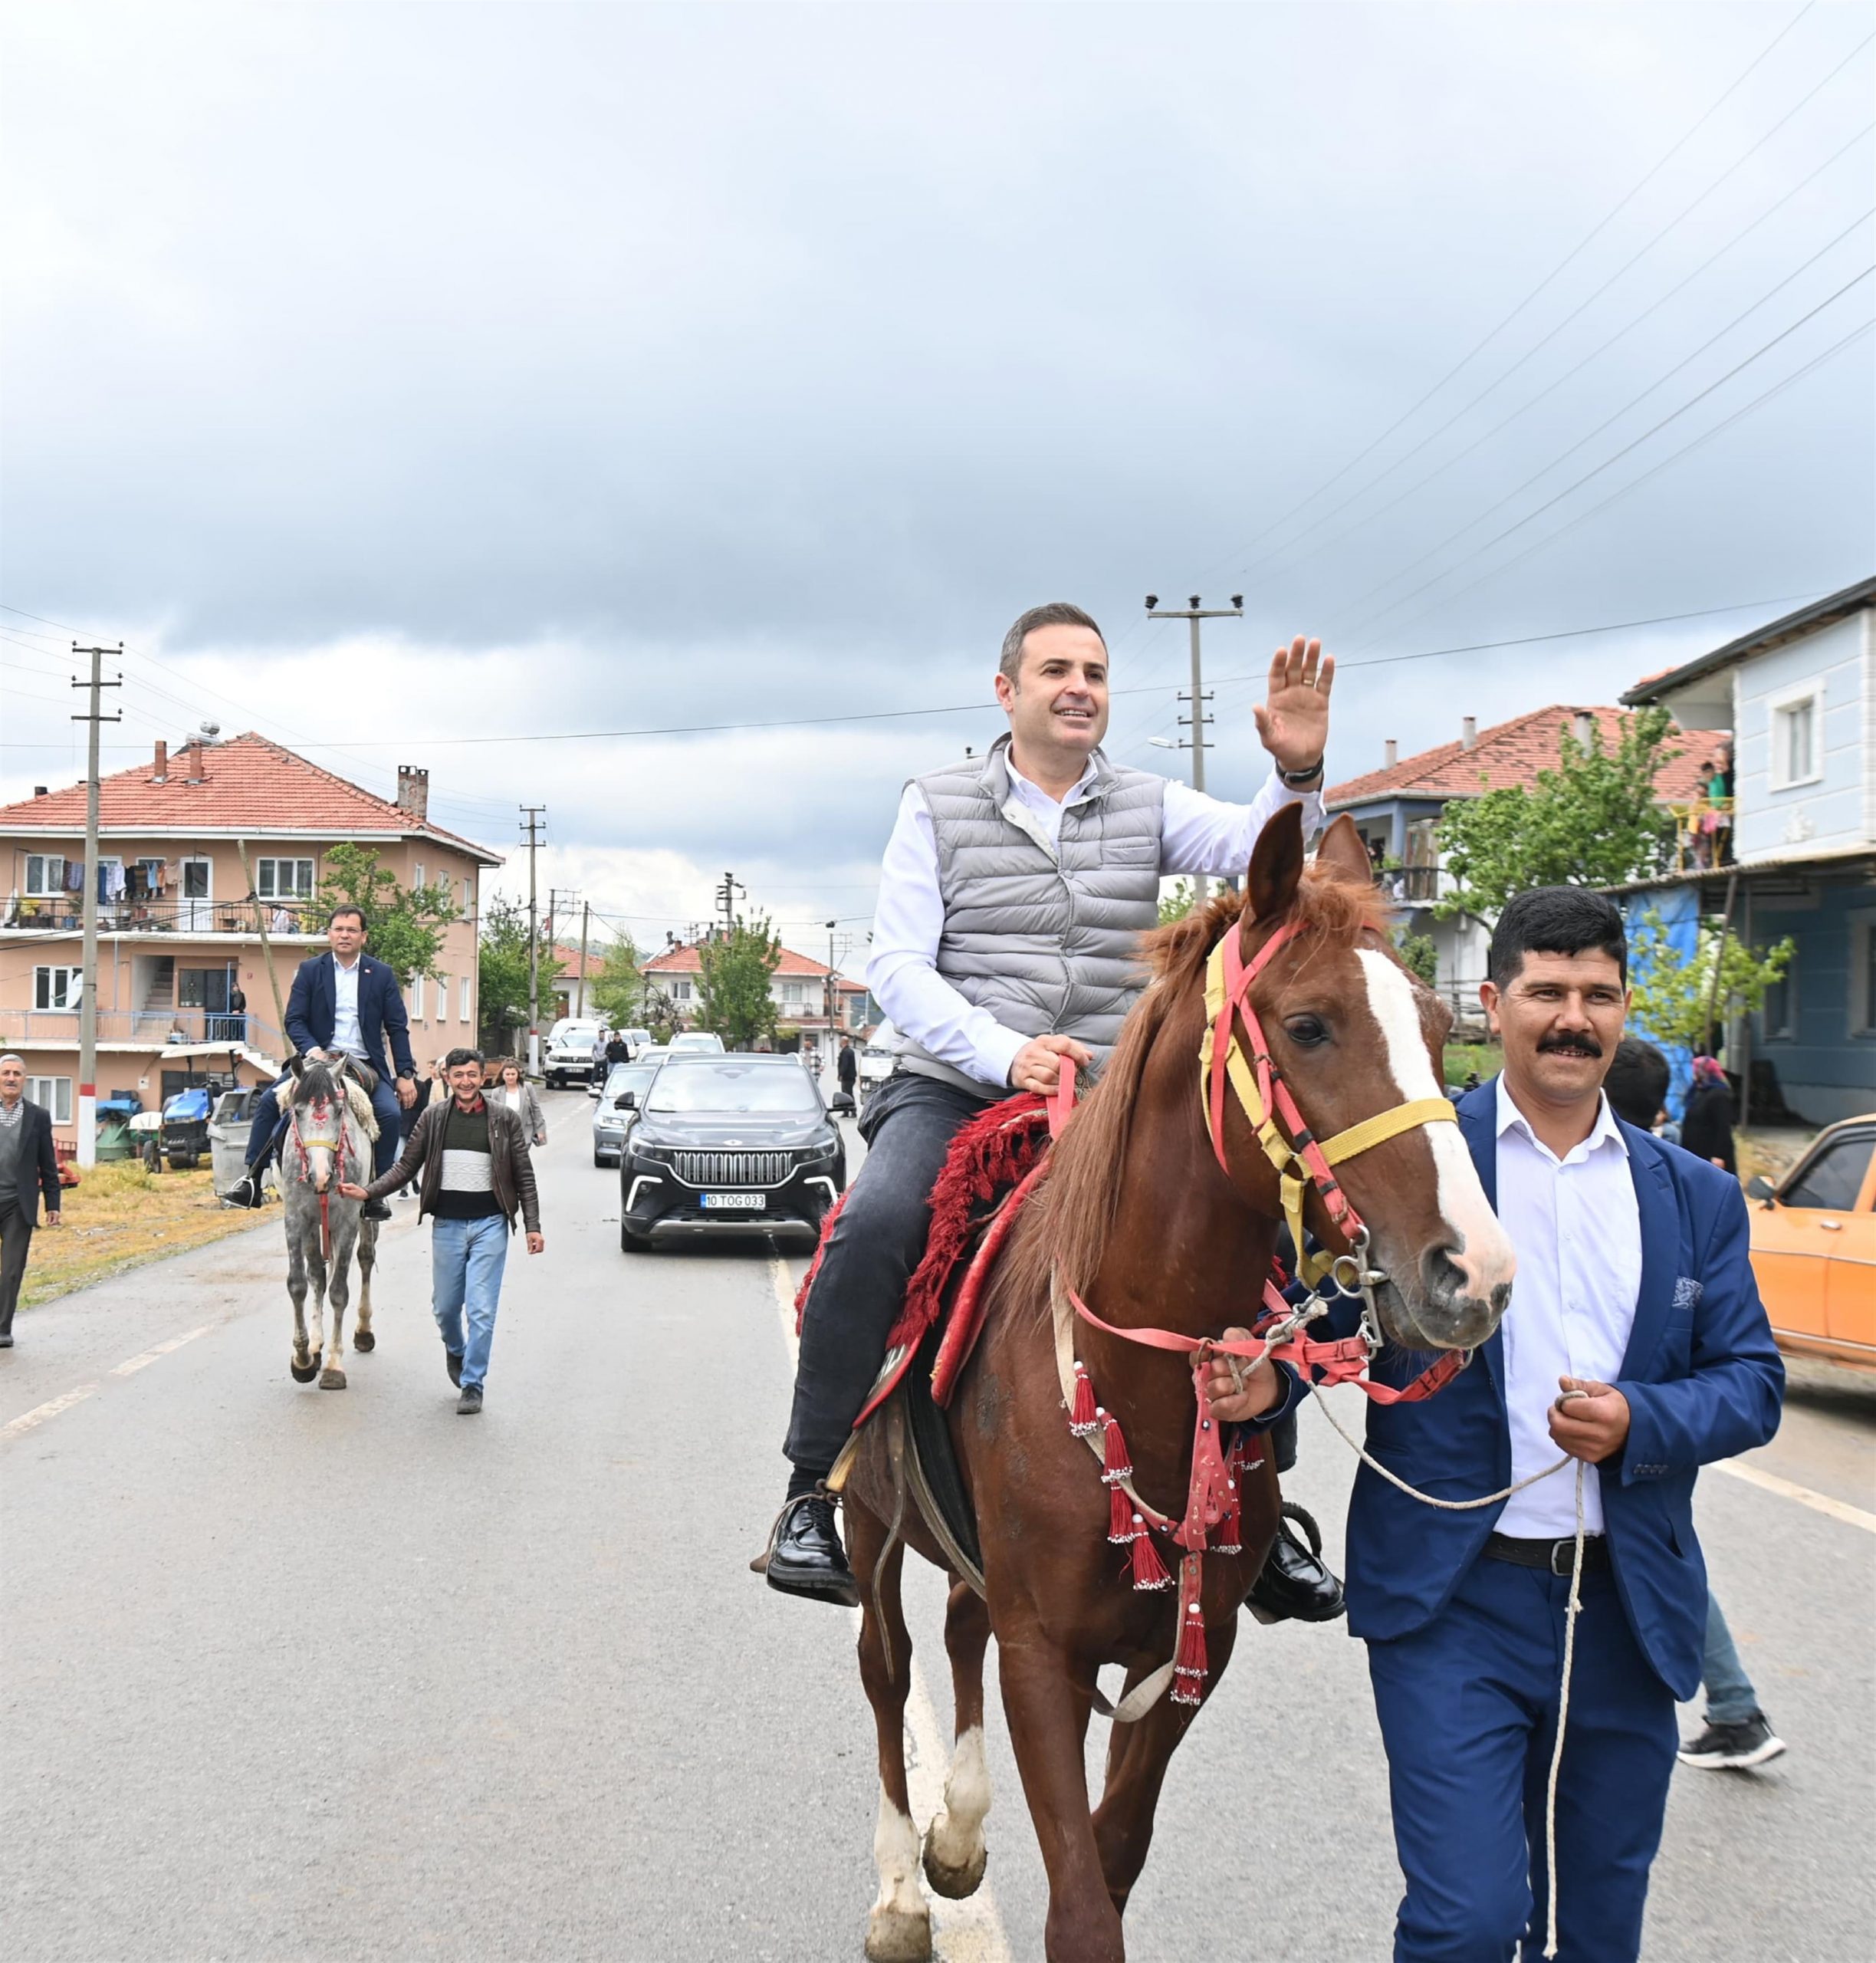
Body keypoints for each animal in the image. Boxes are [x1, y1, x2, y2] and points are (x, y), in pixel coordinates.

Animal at [278, 1052, 380, 1389]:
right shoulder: (295, 1219)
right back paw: (315, 1344)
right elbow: (299, 1284)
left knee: (365, 1259)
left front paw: (334, 1366)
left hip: (364, 1218)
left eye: (338, 1111)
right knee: (317, 1275)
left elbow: (339, 1292)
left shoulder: (347, 1221)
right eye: (298, 1111)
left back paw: (363, 1332)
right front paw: (303, 1359)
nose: (320, 1176)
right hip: (314, 1228)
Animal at [843, 808, 1515, 1963]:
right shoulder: (1045, 1660)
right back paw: (898, 1892)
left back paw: (958, 1833)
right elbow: (1079, 1905)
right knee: (886, 1679)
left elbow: (1112, 1859)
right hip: (863, 1529)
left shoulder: (1182, 1659)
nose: (1471, 1272)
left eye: (1438, 1027)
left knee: (958, 1630)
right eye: (1308, 1026)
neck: (1137, 1377)